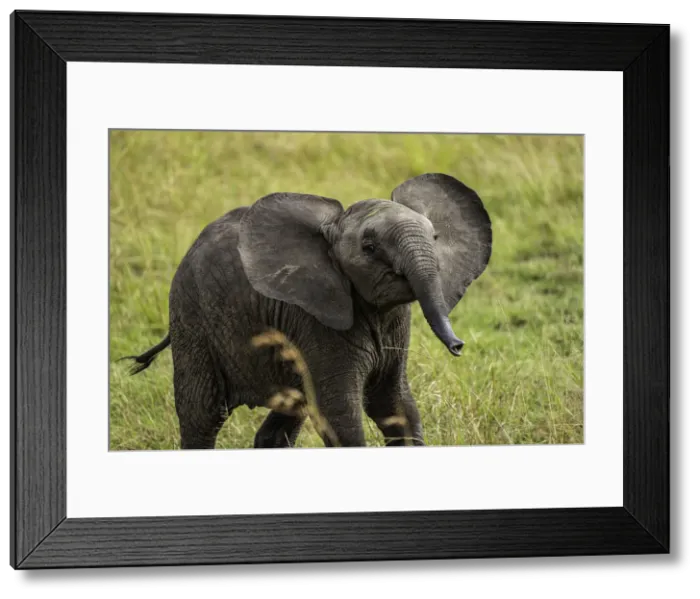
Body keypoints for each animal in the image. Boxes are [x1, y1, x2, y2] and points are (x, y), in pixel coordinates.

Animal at [121, 172, 492, 449]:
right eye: (369, 248)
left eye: (435, 237)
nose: (458, 346)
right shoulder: (316, 320)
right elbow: (340, 414)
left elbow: (395, 405)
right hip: (191, 316)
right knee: (201, 414)